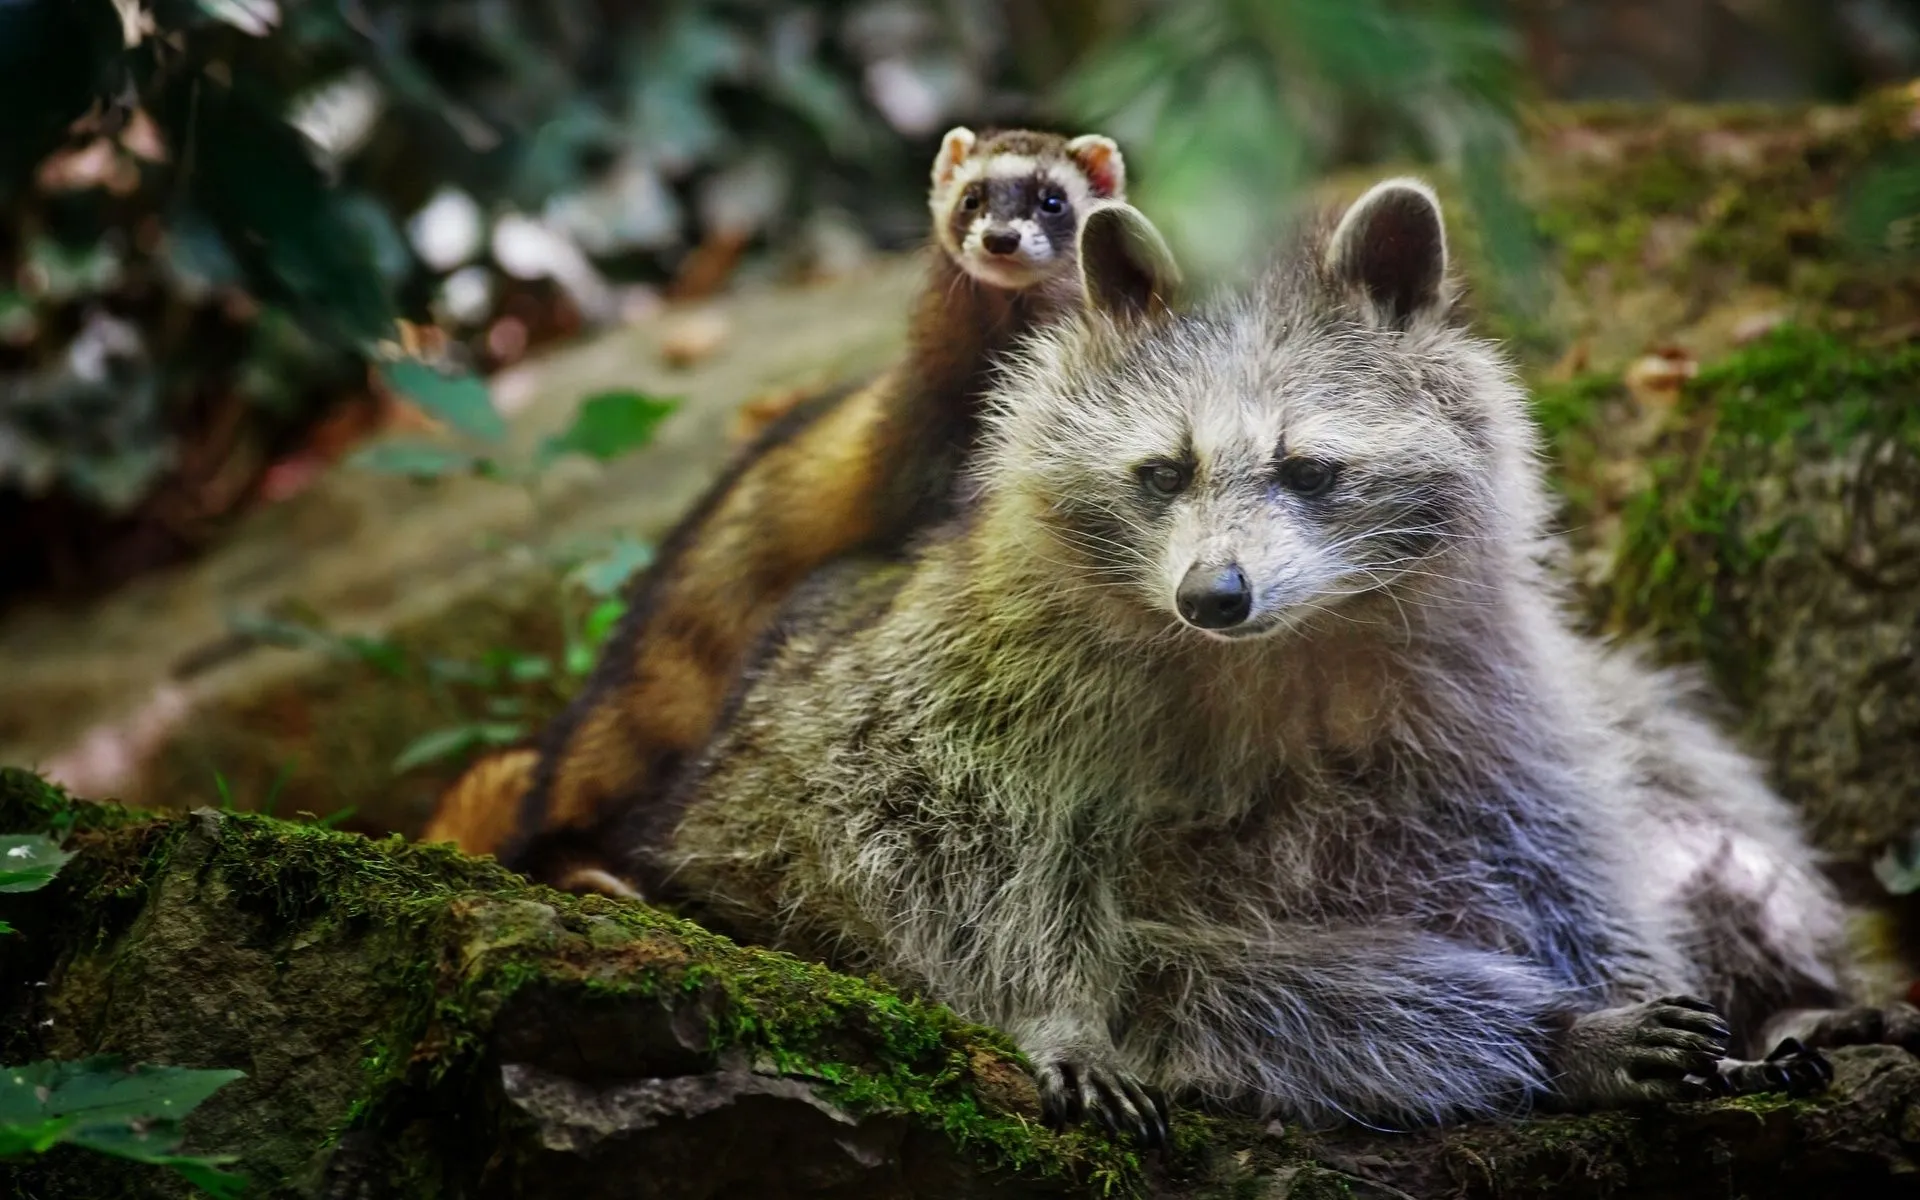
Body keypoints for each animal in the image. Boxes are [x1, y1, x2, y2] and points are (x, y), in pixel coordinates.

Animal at [652, 184, 1912, 1143]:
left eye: (1309, 470)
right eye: (1164, 471)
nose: (1214, 595)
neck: (1277, 643)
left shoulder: (1476, 670)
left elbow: (1545, 833)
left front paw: (1639, 976)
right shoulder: (981, 688)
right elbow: (950, 851)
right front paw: (1055, 1009)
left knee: (1702, 814)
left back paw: (1792, 999)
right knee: (1239, 984)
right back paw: (1546, 1037)